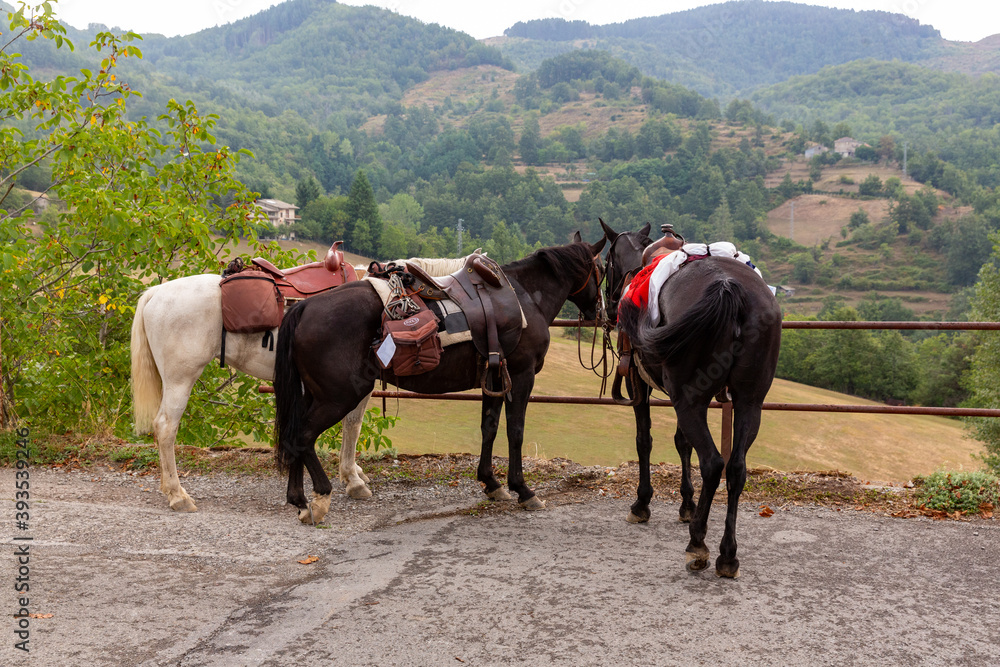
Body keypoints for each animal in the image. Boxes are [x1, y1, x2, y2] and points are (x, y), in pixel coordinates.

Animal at [270, 237, 604, 524]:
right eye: (601, 270)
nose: (601, 311)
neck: (524, 298)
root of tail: (304, 307)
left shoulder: (495, 379)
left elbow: (489, 427)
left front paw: (491, 483)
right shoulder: (521, 377)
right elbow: (515, 432)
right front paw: (523, 490)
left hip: (314, 395)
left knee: (294, 436)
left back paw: (299, 500)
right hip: (338, 396)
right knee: (303, 436)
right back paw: (321, 498)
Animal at [600, 222, 780, 576]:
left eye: (607, 263)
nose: (610, 308)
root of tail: (728, 287)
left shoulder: (640, 385)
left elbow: (645, 441)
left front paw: (642, 503)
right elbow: (683, 443)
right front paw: (686, 503)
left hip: (689, 401)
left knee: (712, 463)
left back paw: (698, 544)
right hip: (748, 402)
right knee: (736, 468)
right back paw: (728, 554)